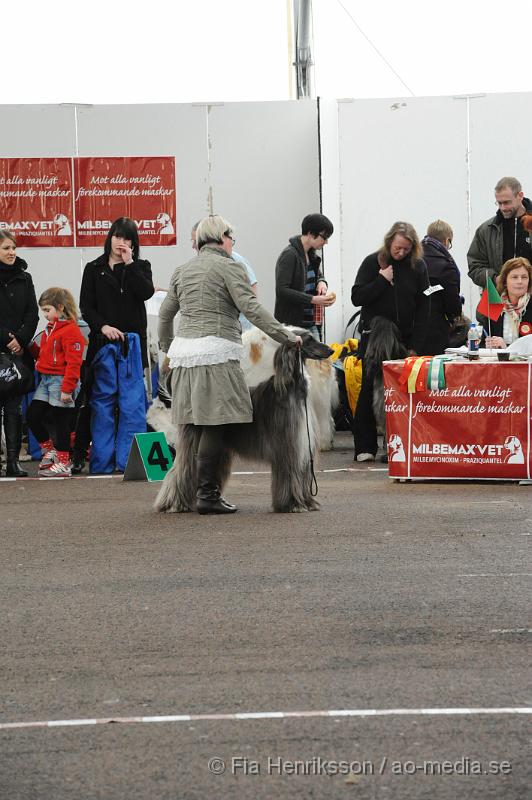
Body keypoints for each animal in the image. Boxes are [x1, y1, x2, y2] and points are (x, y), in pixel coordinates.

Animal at [153, 332, 332, 512]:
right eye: (309, 339)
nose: (331, 351)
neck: (292, 389)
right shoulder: (288, 446)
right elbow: (289, 474)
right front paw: (292, 504)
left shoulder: (303, 446)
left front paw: (307, 503)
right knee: (180, 472)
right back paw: (173, 504)